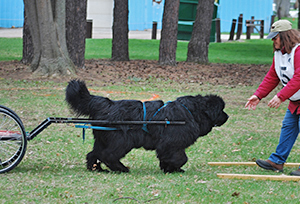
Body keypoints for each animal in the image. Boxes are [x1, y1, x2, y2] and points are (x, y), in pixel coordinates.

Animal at [65, 79, 227, 172]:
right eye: (221, 110)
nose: (228, 116)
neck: (192, 112)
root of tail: (106, 104)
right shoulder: (171, 143)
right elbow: (181, 158)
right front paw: (174, 167)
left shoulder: (169, 146)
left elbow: (167, 157)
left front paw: (169, 169)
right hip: (121, 140)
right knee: (107, 155)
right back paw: (122, 168)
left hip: (102, 139)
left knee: (93, 154)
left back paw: (96, 169)